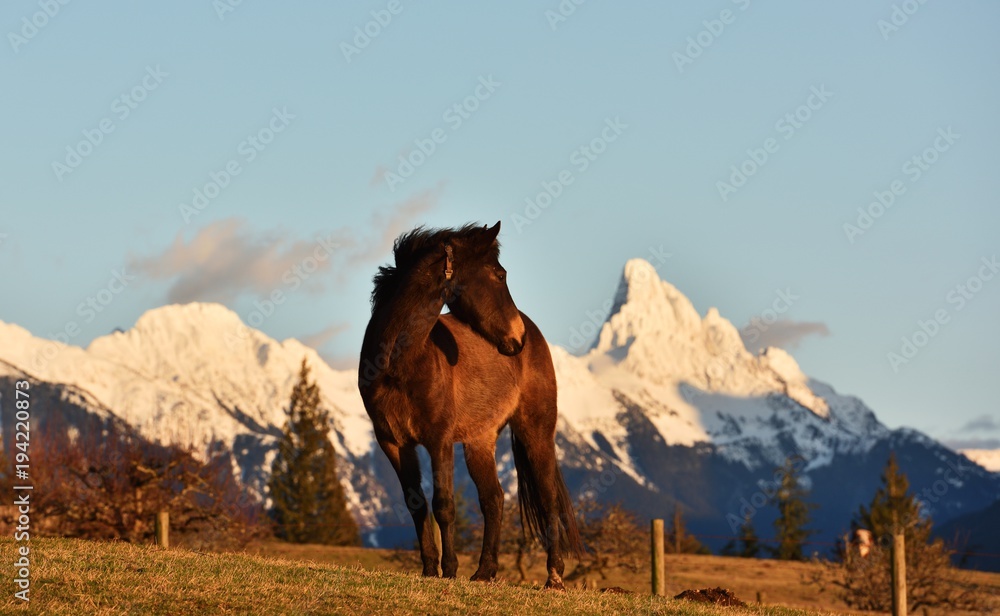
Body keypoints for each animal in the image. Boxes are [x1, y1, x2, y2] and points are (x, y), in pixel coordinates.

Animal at [358, 221, 582, 590]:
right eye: (499, 274)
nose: (517, 338)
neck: (401, 363)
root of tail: (534, 332)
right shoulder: (393, 442)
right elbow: (416, 504)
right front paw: (429, 569)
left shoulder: (439, 439)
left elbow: (444, 504)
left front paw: (448, 570)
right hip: (479, 442)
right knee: (494, 499)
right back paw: (485, 572)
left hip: (536, 433)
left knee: (547, 498)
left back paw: (554, 576)